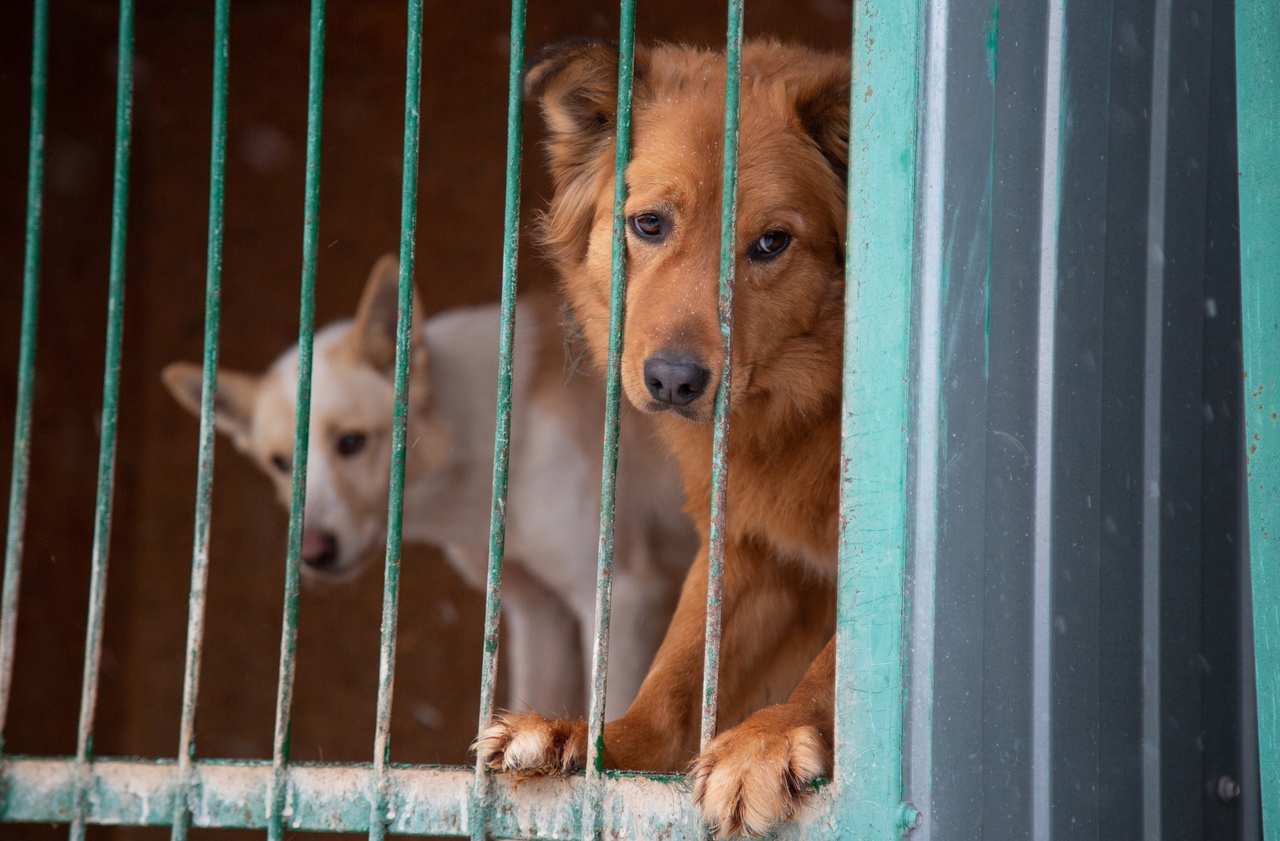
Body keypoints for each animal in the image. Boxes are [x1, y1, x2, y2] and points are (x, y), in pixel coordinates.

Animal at [476, 39, 855, 834]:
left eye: (771, 243)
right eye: (649, 224)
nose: (674, 381)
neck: (803, 408)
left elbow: (837, 666)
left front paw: (766, 740)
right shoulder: (749, 546)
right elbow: (676, 675)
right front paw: (590, 740)